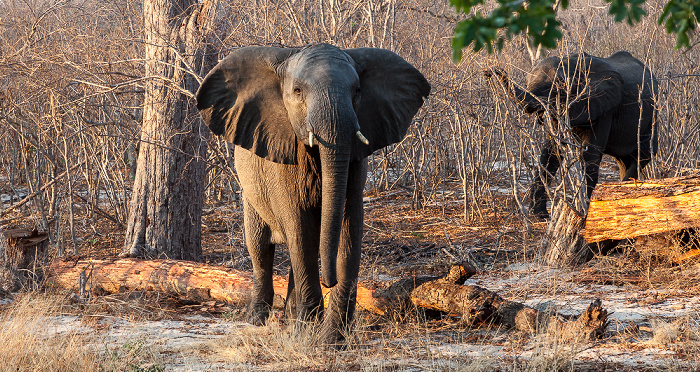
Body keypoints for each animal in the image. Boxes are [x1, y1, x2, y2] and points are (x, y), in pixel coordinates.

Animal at [194, 42, 430, 342]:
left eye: (357, 91)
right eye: (297, 91)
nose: (329, 280)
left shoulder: (356, 159)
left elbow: (350, 227)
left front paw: (332, 339)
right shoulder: (282, 156)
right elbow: (299, 225)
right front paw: (307, 332)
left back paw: (291, 318)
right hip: (250, 191)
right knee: (260, 246)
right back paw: (258, 319)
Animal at [486, 49, 656, 218]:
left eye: (559, 85)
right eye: (527, 83)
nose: (489, 71)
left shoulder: (604, 105)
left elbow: (590, 154)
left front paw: (584, 212)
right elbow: (552, 152)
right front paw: (539, 216)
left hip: (652, 114)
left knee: (643, 153)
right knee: (623, 160)